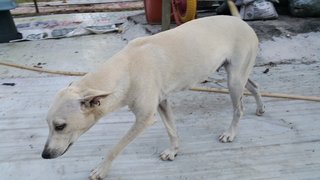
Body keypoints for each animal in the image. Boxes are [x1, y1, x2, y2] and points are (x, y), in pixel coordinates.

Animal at [41, 15, 264, 180]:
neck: (126, 69)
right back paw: (261, 107)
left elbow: (115, 148)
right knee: (254, 86)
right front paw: (174, 151)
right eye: (49, 125)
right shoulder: (162, 103)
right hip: (238, 76)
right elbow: (172, 130)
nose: (44, 155)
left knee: (239, 108)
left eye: (60, 126)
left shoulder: (145, 119)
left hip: (234, 81)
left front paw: (102, 169)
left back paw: (231, 133)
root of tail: (241, 21)